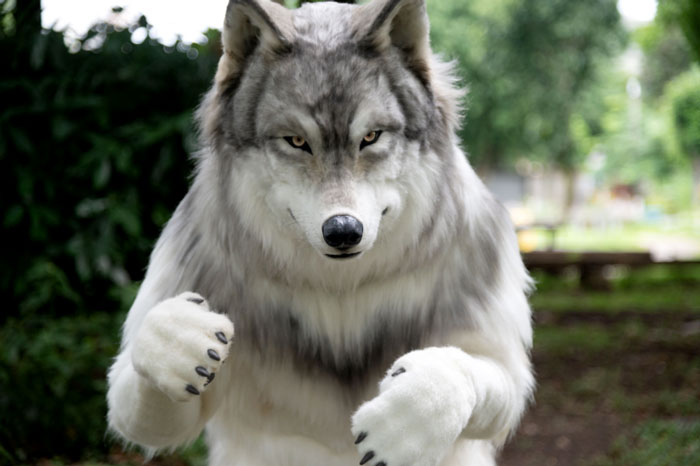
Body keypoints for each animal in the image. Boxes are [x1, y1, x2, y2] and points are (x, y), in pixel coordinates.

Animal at [106, 0, 534, 465]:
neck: (338, 292)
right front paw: (177, 336)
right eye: (296, 141)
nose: (343, 231)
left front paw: (406, 421)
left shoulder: (502, 363)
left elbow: (463, 373)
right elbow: (141, 377)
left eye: (371, 137)